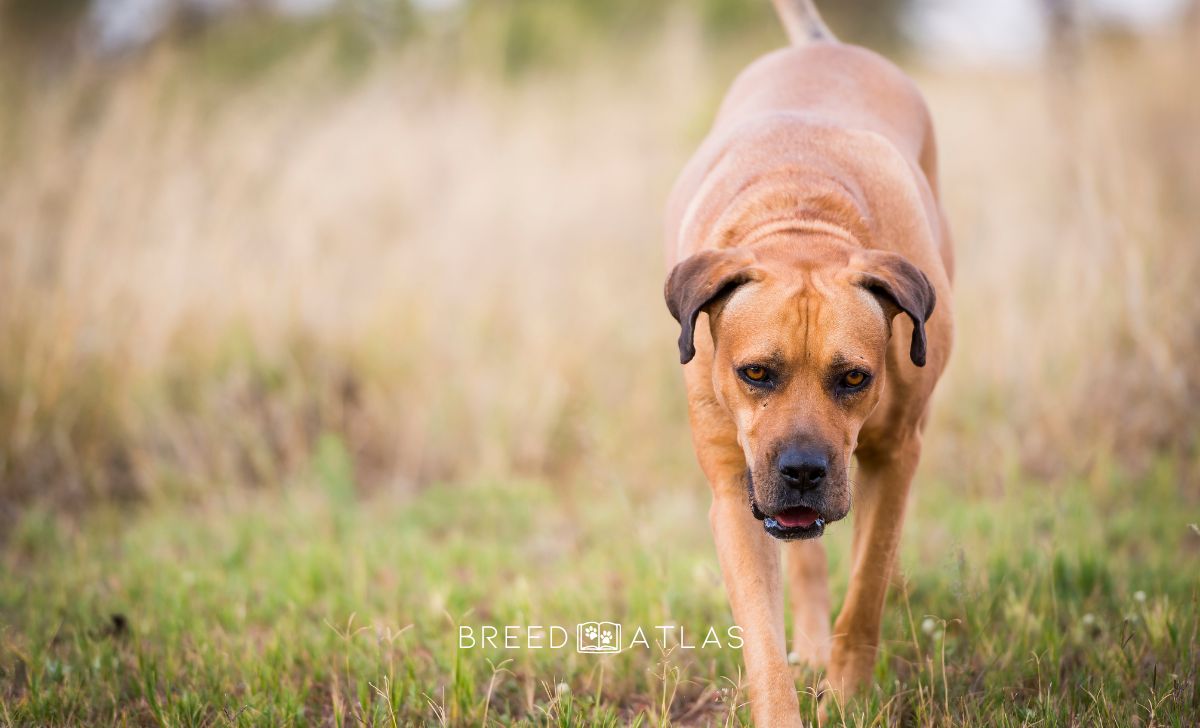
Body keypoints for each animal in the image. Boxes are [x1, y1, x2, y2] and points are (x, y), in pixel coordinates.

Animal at [662, 0, 950, 724]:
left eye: (854, 378)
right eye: (754, 373)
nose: (801, 471)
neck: (802, 221)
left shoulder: (897, 453)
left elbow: (868, 585)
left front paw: (847, 696)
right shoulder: (735, 491)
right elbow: (762, 641)